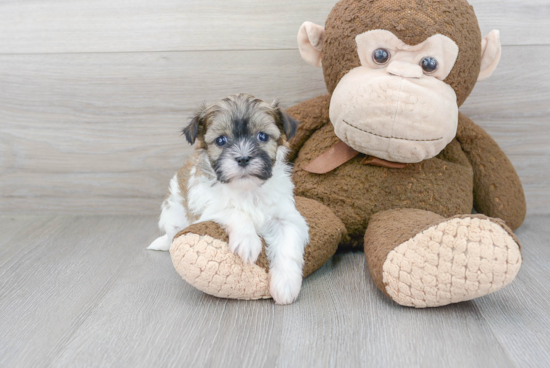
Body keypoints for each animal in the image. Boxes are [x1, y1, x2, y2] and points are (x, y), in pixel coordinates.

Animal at [148, 93, 310, 304]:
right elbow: (234, 211)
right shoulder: (208, 206)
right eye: (221, 140)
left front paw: (286, 285)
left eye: (262, 136)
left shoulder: (286, 216)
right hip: (173, 213)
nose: (243, 158)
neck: (247, 189)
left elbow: (288, 243)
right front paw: (248, 242)